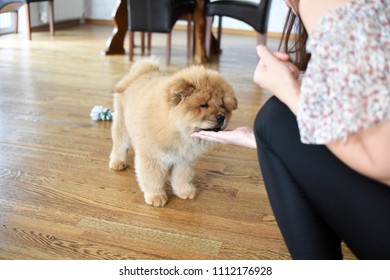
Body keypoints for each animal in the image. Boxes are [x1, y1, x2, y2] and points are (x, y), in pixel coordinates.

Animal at [109, 58, 238, 207]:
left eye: (222, 105)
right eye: (203, 105)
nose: (222, 117)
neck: (178, 133)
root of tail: (142, 72)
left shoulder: (184, 160)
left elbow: (182, 176)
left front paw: (184, 191)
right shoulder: (153, 157)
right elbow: (153, 178)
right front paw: (156, 197)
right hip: (122, 124)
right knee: (120, 145)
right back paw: (117, 162)